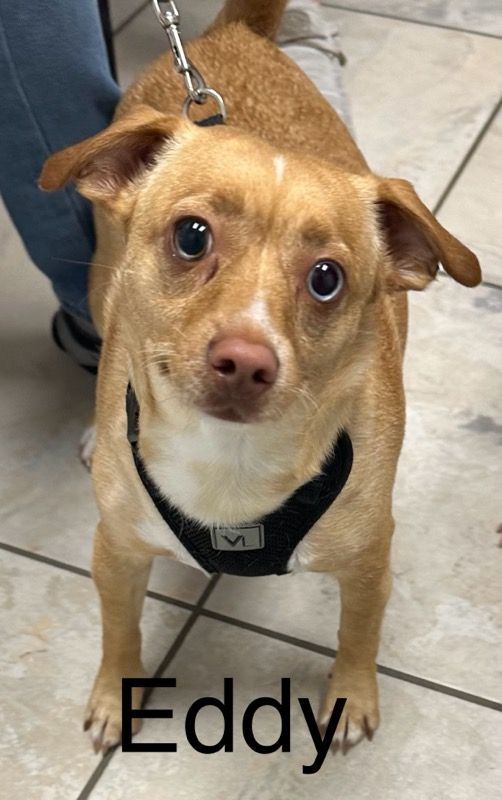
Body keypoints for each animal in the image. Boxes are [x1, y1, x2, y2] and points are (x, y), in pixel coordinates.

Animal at [39, 0, 478, 756]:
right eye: (191, 236)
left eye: (327, 279)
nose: (246, 359)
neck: (230, 464)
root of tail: (230, 34)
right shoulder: (115, 553)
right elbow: (118, 630)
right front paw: (116, 691)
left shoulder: (370, 563)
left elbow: (358, 635)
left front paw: (350, 696)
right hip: (99, 290)